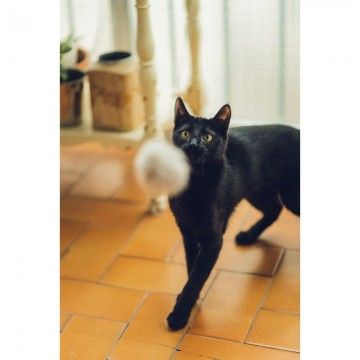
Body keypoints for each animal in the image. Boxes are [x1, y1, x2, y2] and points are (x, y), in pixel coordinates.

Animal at [167, 97, 300, 330]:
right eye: (184, 133)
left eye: (207, 137)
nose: (193, 145)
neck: (193, 185)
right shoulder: (188, 233)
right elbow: (192, 267)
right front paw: (190, 300)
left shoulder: (213, 240)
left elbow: (197, 275)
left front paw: (180, 315)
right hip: (257, 191)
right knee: (274, 209)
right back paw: (248, 236)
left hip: (291, 196)